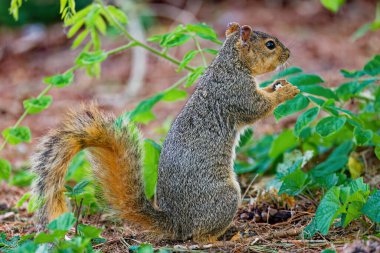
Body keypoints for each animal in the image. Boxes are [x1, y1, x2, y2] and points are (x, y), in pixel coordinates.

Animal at [31, 22, 300, 242]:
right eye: (270, 45)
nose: (289, 53)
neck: (230, 63)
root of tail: (177, 223)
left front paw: (277, 85)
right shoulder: (236, 93)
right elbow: (258, 108)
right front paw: (285, 92)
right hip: (225, 197)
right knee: (200, 236)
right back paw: (226, 236)